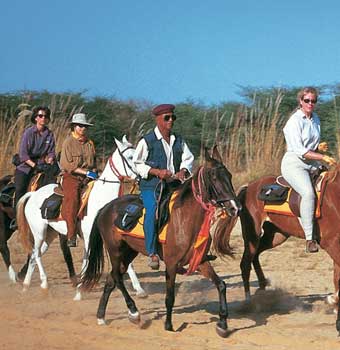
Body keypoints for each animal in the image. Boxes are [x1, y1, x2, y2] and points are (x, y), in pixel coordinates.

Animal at [16, 135, 147, 300]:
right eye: (130, 157)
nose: (142, 176)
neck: (102, 198)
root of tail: (33, 195)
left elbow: (128, 264)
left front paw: (139, 289)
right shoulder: (89, 237)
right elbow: (87, 261)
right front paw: (79, 292)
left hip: (50, 235)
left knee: (34, 255)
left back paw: (26, 286)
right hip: (39, 232)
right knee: (37, 254)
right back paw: (44, 284)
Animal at [81, 146, 242, 338]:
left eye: (229, 176)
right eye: (214, 177)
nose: (235, 208)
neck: (185, 219)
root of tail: (105, 208)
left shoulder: (200, 261)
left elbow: (221, 285)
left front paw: (223, 323)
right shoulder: (171, 264)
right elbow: (170, 296)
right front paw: (168, 325)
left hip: (129, 252)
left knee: (112, 279)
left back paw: (101, 316)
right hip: (115, 250)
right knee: (118, 278)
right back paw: (134, 312)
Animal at [234, 170, 340, 336]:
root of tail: (249, 186)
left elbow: (336, 278)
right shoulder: (332, 244)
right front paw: (334, 303)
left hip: (276, 235)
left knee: (255, 255)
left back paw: (262, 289)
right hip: (252, 233)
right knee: (245, 264)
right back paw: (249, 302)